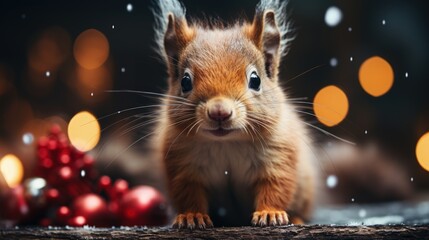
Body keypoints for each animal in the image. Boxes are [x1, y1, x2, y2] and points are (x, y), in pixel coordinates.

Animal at [151, 0, 314, 229]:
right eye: (185, 82)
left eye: (255, 80)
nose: (219, 112)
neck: (226, 142)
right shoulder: (182, 164)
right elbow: (188, 193)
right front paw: (192, 216)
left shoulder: (278, 156)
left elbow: (275, 187)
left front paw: (269, 213)